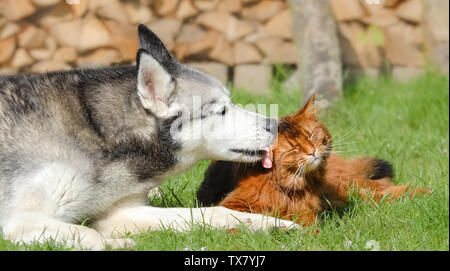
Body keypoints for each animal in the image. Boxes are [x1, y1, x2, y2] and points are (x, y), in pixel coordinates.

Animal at [0, 25, 298, 251]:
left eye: (231, 102)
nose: (275, 125)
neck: (99, 135)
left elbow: (215, 212)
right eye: (221, 110)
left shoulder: (123, 212)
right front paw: (112, 243)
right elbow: (90, 234)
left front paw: (270, 224)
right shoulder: (20, 220)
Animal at [197, 95, 428, 227]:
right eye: (293, 147)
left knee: (376, 188)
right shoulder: (232, 205)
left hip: (343, 185)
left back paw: (422, 192)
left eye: (311, 135)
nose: (313, 151)